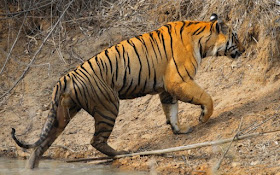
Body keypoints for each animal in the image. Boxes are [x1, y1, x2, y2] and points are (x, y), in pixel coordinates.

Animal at [10, 13, 244, 168]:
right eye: (236, 37)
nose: (243, 49)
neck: (202, 40)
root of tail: (65, 77)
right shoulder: (178, 81)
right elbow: (206, 97)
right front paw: (203, 118)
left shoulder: (166, 88)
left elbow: (172, 111)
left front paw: (179, 130)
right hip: (108, 106)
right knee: (96, 140)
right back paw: (120, 154)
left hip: (63, 115)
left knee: (41, 145)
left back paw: (31, 167)